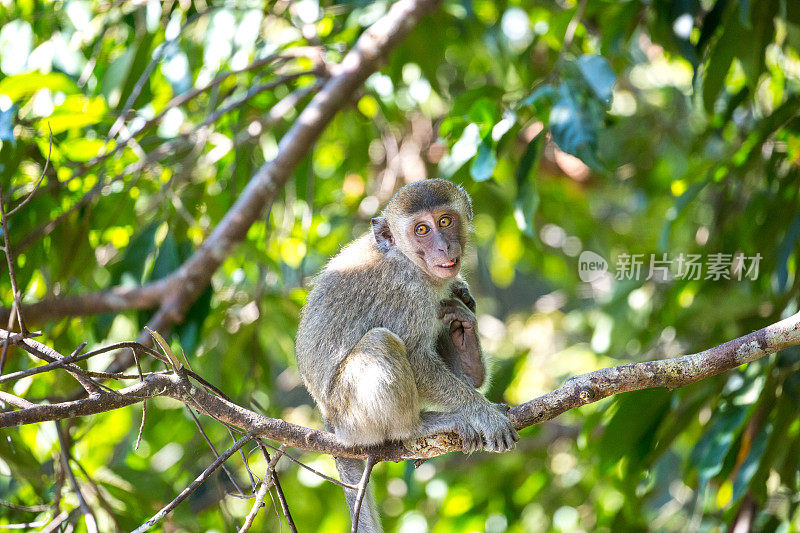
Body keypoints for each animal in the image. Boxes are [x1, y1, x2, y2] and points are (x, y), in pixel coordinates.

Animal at [296, 179, 520, 532]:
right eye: (421, 229)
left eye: (445, 221)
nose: (444, 247)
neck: (407, 259)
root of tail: (330, 425)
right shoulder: (407, 292)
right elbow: (415, 357)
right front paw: (481, 413)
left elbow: (467, 367)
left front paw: (463, 320)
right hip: (351, 415)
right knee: (381, 342)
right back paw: (417, 427)